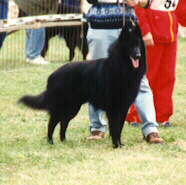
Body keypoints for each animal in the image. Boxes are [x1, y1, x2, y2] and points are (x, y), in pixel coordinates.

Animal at [18, 23, 146, 148]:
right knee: (52, 123)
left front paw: (119, 144)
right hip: (64, 107)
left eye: (138, 45)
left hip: (72, 108)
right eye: (130, 46)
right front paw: (116, 145)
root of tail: (52, 76)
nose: (138, 56)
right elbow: (115, 129)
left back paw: (64, 141)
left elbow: (119, 129)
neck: (121, 68)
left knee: (63, 123)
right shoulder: (113, 109)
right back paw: (50, 142)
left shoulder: (123, 108)